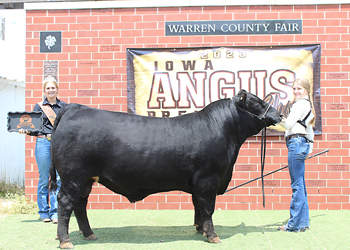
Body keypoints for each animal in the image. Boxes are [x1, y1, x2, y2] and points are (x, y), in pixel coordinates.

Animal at [50, 89, 284, 248]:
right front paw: (213, 235)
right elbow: (207, 207)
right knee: (66, 204)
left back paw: (89, 234)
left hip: (86, 179)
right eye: (257, 102)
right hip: (73, 177)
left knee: (80, 205)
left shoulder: (197, 182)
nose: (280, 115)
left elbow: (197, 205)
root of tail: (73, 107)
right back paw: (65, 240)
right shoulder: (208, 179)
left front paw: (200, 229)